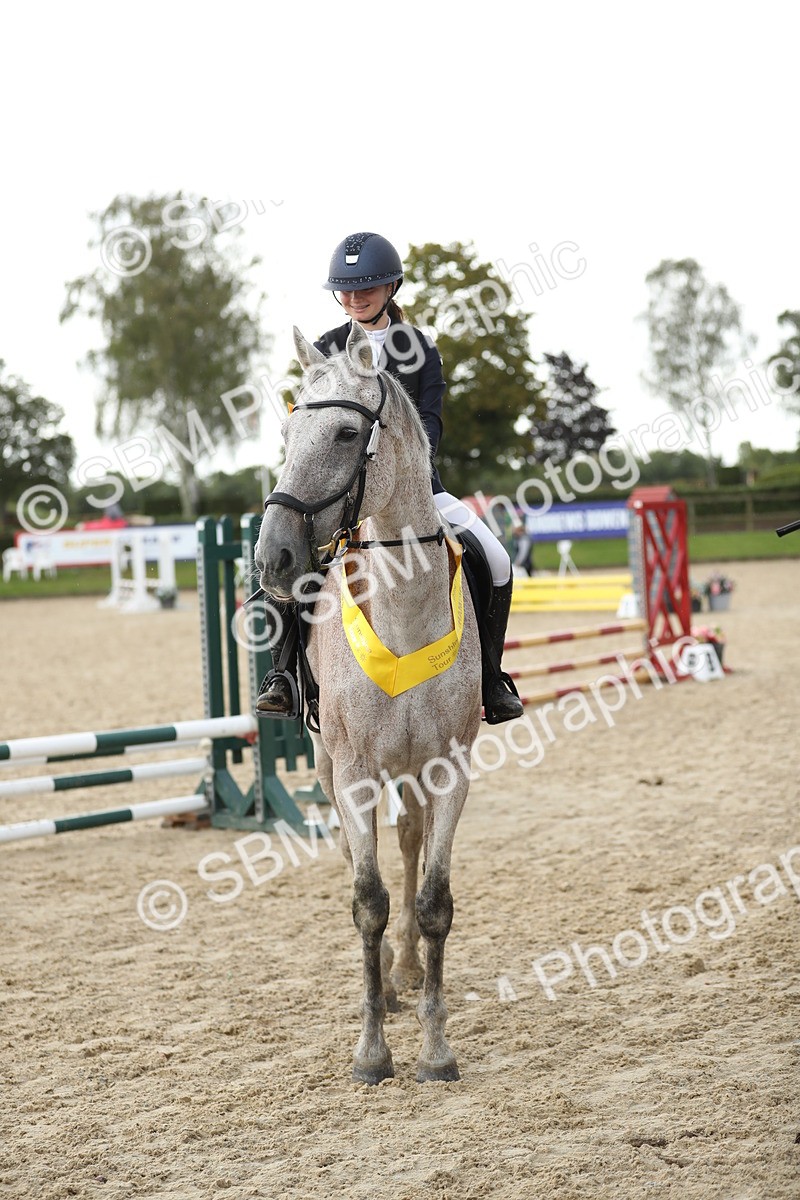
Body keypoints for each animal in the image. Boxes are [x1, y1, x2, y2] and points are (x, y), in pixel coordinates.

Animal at [254, 322, 482, 1084]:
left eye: (348, 433)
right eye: (288, 432)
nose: (273, 557)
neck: (404, 609)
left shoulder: (450, 768)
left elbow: (432, 899)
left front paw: (436, 1052)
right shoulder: (352, 772)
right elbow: (367, 900)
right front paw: (372, 1050)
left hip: (411, 768)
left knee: (406, 842)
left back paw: (405, 970)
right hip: (333, 768)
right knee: (371, 858)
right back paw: (384, 983)